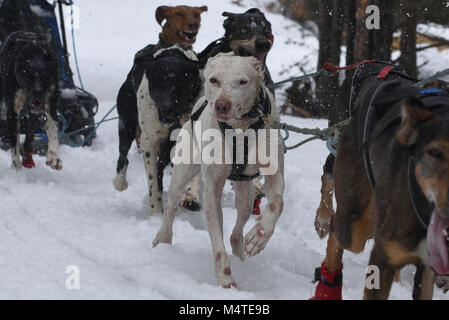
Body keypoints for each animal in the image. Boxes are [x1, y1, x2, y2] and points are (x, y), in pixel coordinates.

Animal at [0, 31, 61, 170]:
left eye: (45, 76)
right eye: (27, 75)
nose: (37, 93)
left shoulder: (50, 102)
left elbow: (52, 126)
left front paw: (53, 156)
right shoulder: (12, 112)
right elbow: (14, 144)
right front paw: (16, 169)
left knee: (30, 131)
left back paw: (28, 156)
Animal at [113, 44, 200, 215]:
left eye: (180, 84)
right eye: (157, 83)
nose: (167, 109)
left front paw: (191, 196)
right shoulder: (149, 141)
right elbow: (152, 180)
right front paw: (156, 210)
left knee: (161, 166)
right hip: (127, 124)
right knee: (123, 156)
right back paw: (120, 182)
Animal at [151, 52, 284, 288]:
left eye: (242, 81)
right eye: (214, 80)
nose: (222, 105)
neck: (240, 131)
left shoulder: (274, 172)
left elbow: (277, 203)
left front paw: (259, 236)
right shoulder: (212, 187)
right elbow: (217, 240)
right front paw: (225, 278)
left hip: (246, 195)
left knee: (238, 226)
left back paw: (241, 250)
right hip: (181, 174)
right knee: (171, 207)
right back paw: (163, 239)